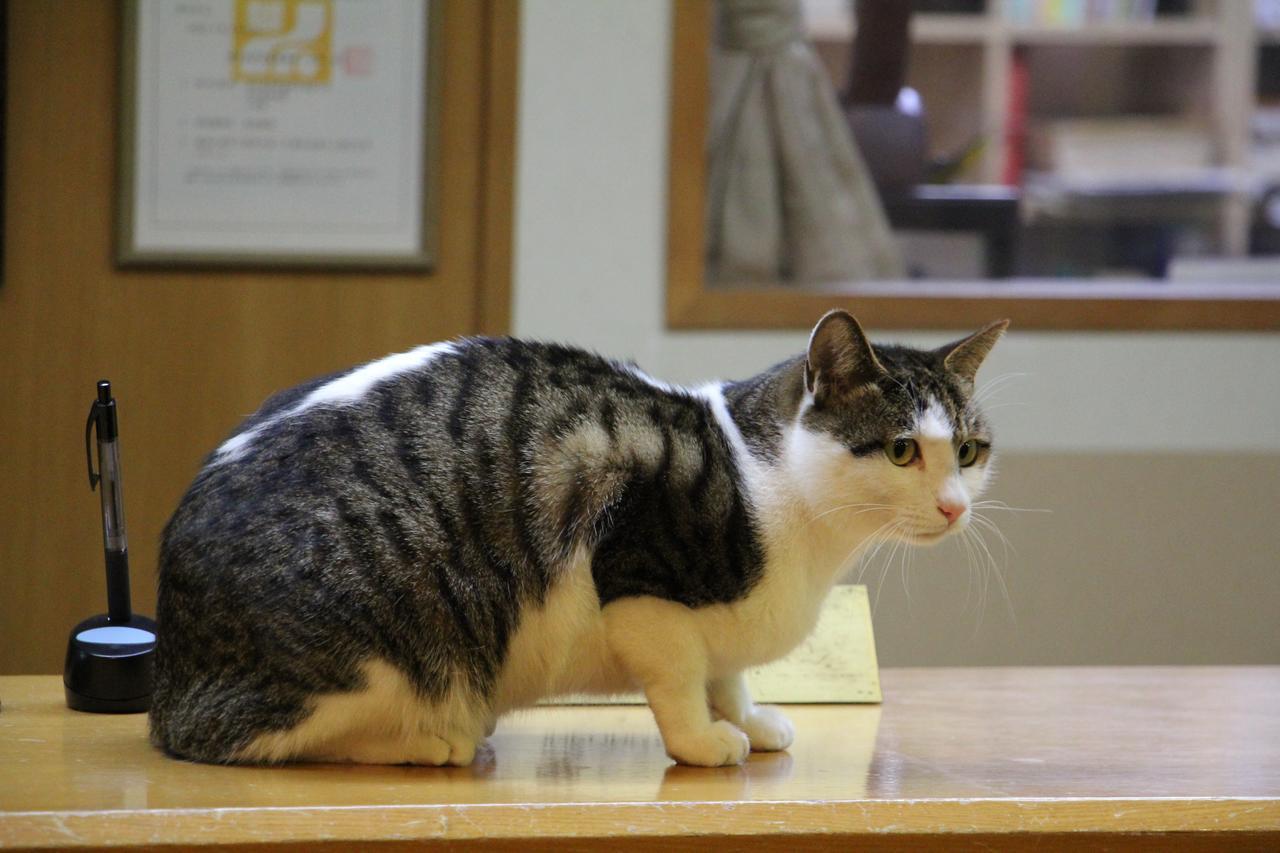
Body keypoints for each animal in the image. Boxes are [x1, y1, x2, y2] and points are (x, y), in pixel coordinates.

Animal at [149, 307, 1008, 763]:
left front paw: (750, 719)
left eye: (968, 450)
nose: (953, 507)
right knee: (250, 735)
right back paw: (434, 738)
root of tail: (171, 680)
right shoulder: (637, 580)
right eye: (903, 450)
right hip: (384, 643)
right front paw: (706, 742)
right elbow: (680, 679)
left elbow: (728, 673)